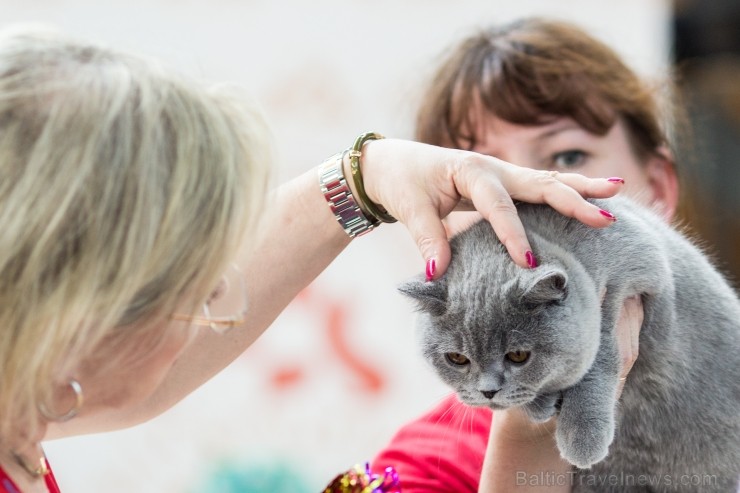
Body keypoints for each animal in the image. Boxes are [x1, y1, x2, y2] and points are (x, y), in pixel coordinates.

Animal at [402, 197, 740, 492]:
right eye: (457, 359)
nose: (488, 391)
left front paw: (582, 434)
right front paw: (539, 405)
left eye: (518, 355)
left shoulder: (635, 275)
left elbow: (598, 356)